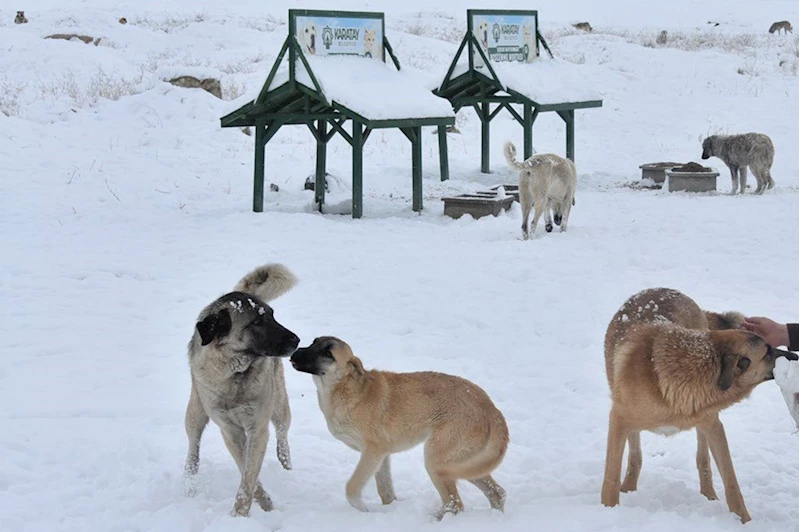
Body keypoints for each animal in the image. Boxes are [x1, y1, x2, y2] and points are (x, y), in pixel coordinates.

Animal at [183, 264, 302, 516]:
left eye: (272, 315)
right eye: (256, 323)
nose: (297, 340)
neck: (234, 373)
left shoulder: (257, 428)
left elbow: (248, 477)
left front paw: (241, 514)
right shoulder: (230, 431)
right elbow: (248, 473)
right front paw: (259, 504)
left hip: (280, 406)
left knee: (282, 433)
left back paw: (286, 467)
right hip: (194, 411)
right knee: (193, 445)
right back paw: (188, 481)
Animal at [290, 336, 510, 520]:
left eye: (328, 353)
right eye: (313, 342)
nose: (295, 352)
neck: (346, 390)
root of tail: (491, 408)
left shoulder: (373, 452)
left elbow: (352, 487)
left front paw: (363, 511)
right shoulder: (382, 456)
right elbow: (386, 492)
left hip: (437, 461)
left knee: (455, 504)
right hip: (464, 463)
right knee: (496, 493)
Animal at [604, 286, 796, 524]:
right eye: (768, 352)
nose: (794, 354)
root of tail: (669, 290)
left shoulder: (713, 424)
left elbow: (731, 483)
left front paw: (744, 522)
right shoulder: (618, 420)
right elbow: (611, 479)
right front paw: (607, 510)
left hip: (706, 424)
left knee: (703, 458)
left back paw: (709, 495)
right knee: (635, 453)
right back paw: (629, 487)